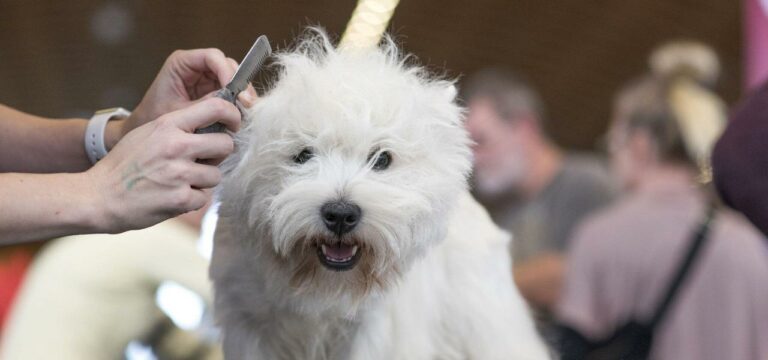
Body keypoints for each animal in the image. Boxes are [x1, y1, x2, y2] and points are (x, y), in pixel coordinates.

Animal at [208, 29, 544, 358]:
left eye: (382, 159)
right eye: (303, 154)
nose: (340, 215)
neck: (323, 292)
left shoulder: (375, 330)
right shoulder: (249, 325)